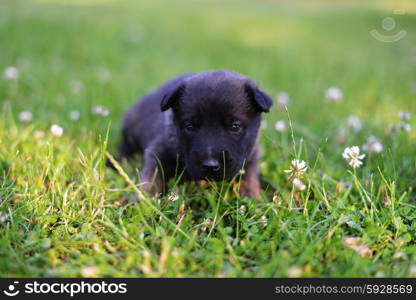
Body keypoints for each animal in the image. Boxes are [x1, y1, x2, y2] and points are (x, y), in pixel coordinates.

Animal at [112, 70, 272, 199]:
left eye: (235, 126)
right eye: (190, 126)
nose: (210, 165)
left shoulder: (251, 157)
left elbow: (249, 180)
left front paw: (252, 200)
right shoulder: (158, 152)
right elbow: (151, 179)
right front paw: (142, 202)